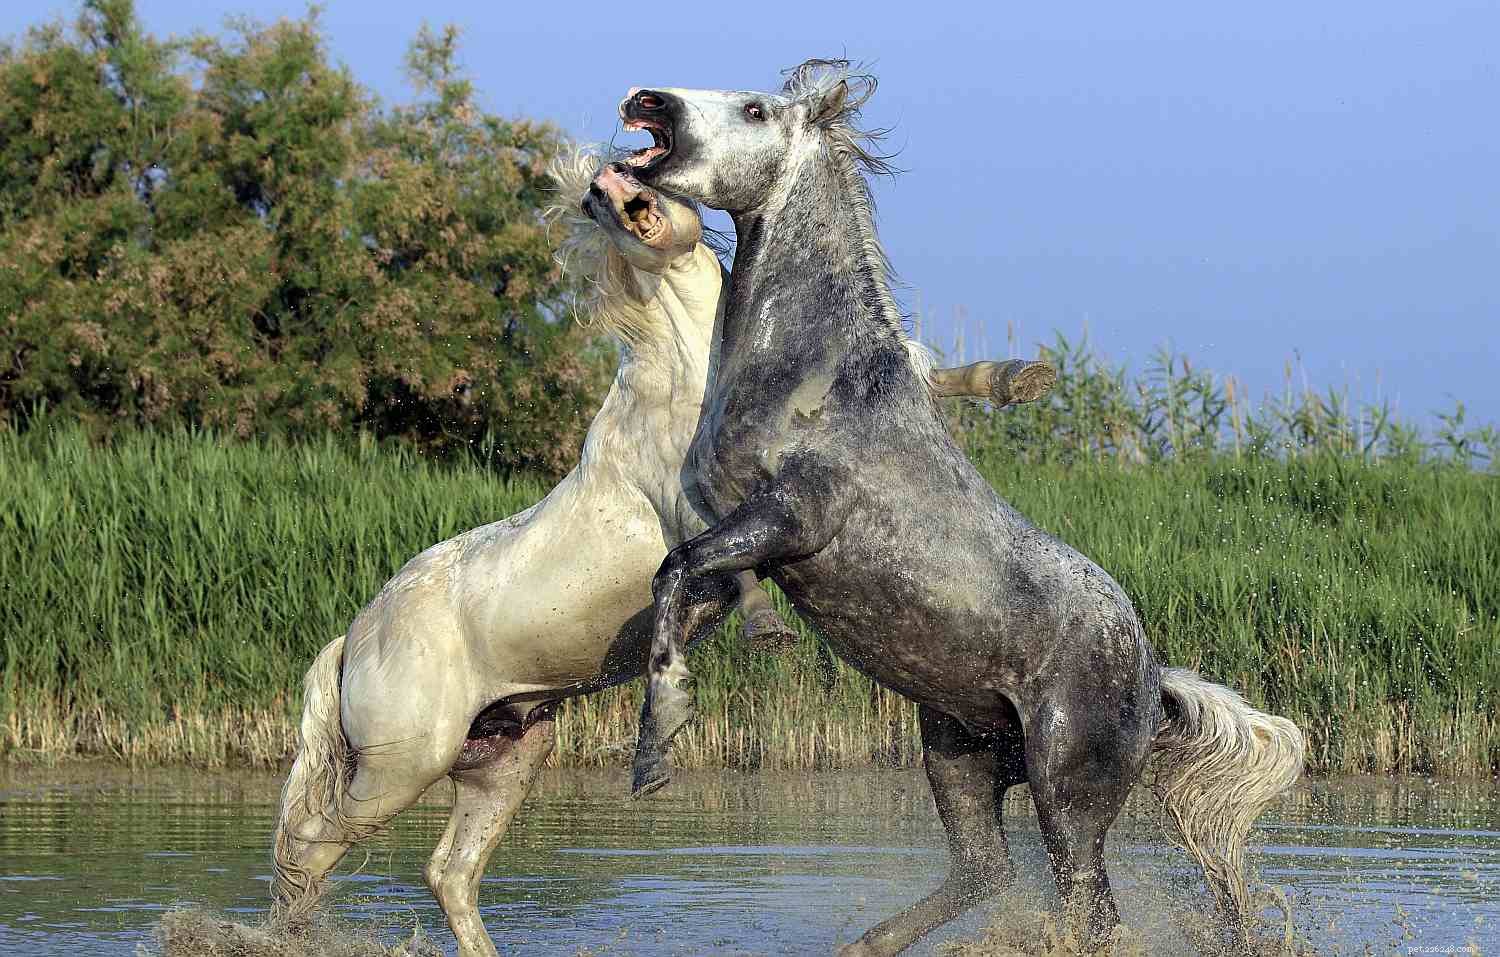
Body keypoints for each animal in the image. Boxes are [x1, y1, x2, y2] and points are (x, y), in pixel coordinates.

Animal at [267, 146, 1053, 957]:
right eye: (589, 202)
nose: (602, 184)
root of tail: (356, 634)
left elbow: (932, 372)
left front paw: (1022, 378)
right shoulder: (705, 501)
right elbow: (733, 564)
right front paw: (766, 632)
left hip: (507, 755)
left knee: (446, 871)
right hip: (401, 763)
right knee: (310, 846)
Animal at [618, 61, 1305, 955]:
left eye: (756, 109)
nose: (648, 102)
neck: (816, 375)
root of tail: (1154, 675)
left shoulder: (792, 517)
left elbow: (675, 567)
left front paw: (659, 742)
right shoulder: (737, 526)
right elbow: (680, 583)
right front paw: (660, 734)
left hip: (1066, 787)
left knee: (1087, 905)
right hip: (959, 752)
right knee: (986, 870)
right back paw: (864, 944)